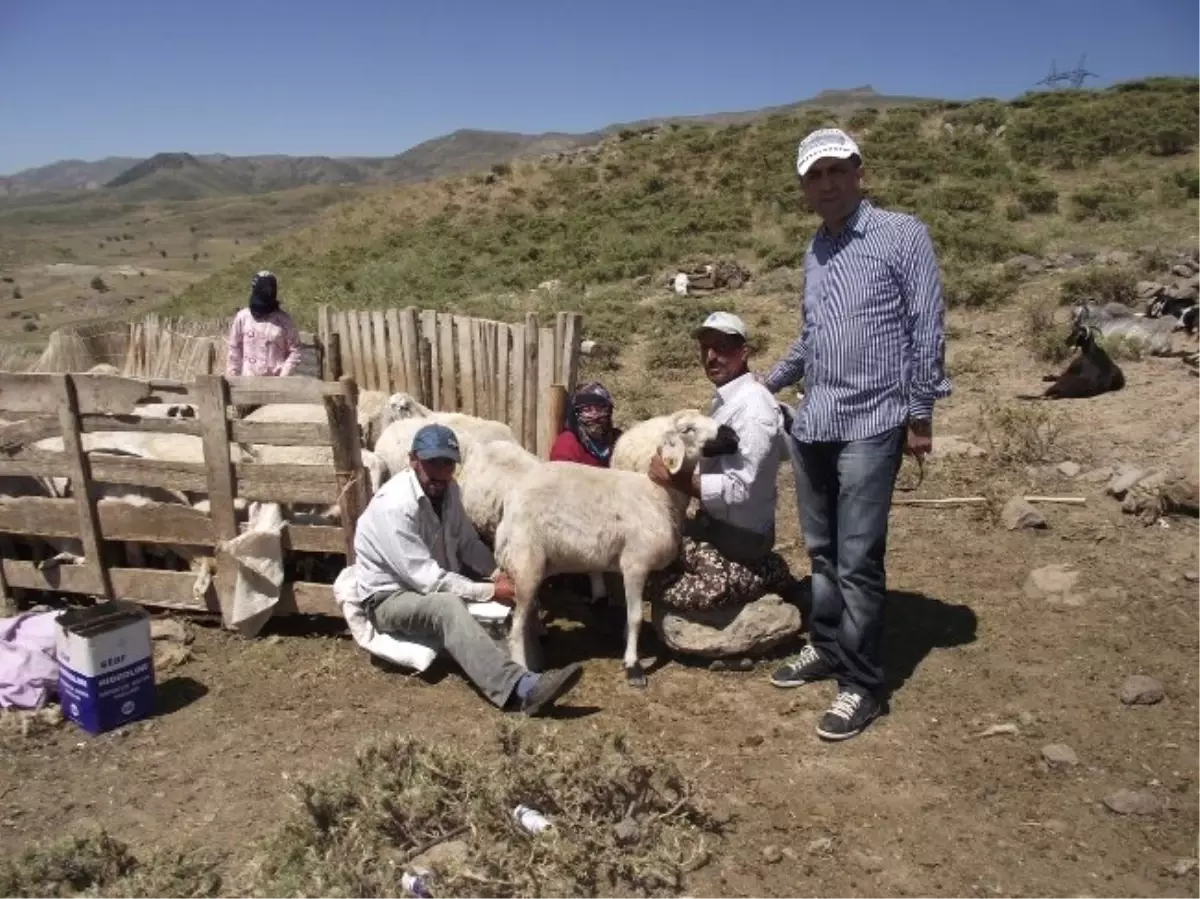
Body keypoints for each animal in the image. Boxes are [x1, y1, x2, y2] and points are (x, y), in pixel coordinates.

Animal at [492, 420, 734, 686]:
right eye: (687, 429)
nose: (731, 436)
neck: (658, 494)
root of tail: (510, 503)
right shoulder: (635, 564)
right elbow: (636, 616)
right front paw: (633, 666)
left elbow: (628, 613)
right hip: (527, 563)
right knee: (517, 627)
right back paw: (523, 668)